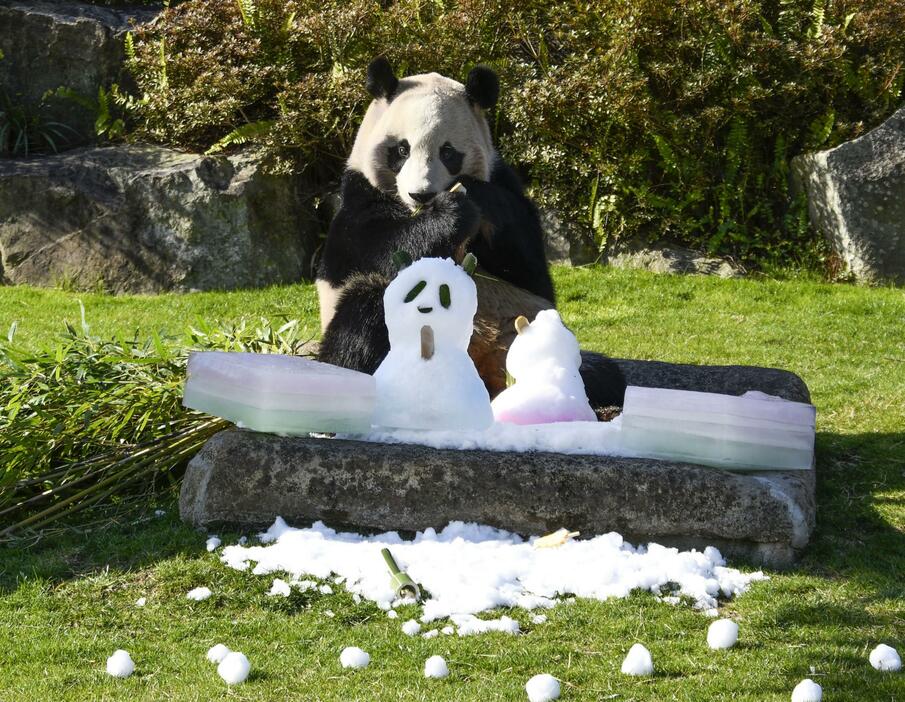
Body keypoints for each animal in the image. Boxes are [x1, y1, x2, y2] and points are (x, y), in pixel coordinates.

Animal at [314, 57, 624, 410]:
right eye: (401, 150)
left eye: (448, 152)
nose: (420, 194)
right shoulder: (357, 196)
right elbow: (371, 247)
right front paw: (448, 217)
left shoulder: (504, 182)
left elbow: (529, 265)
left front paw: (473, 197)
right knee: (367, 311)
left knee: (597, 371)